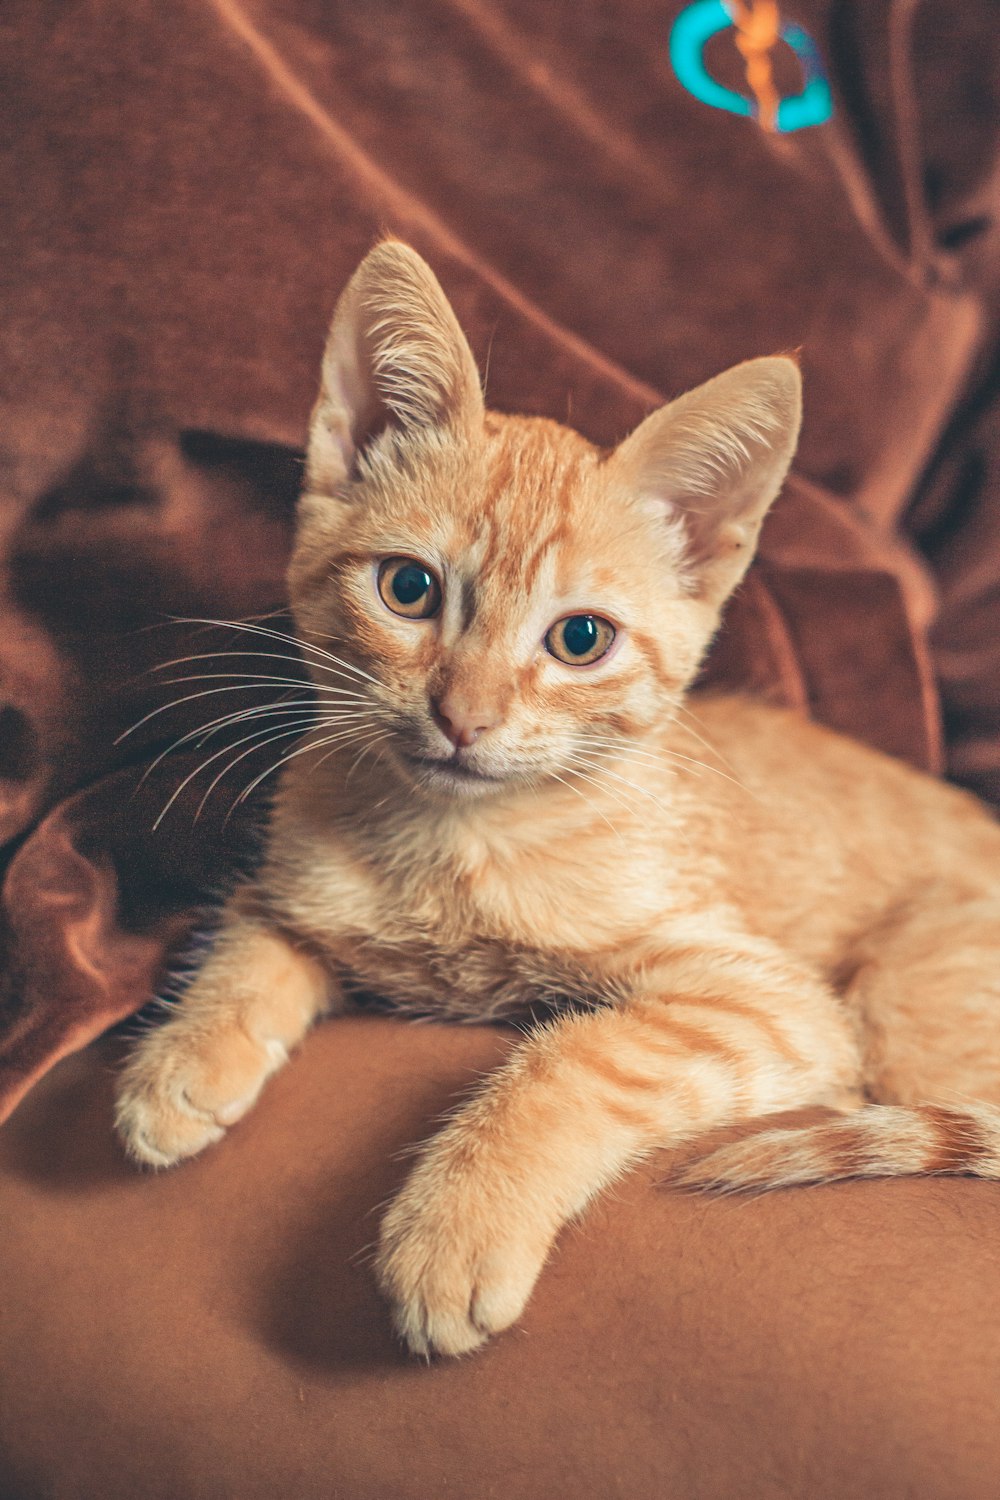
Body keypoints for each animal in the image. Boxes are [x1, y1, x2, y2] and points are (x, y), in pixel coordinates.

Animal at [113, 240, 1000, 1356]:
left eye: (581, 639)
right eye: (407, 589)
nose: (463, 714)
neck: (451, 846)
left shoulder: (772, 999)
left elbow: (579, 1053)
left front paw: (460, 1219)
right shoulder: (295, 879)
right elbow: (253, 932)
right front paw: (186, 1057)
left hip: (908, 981)